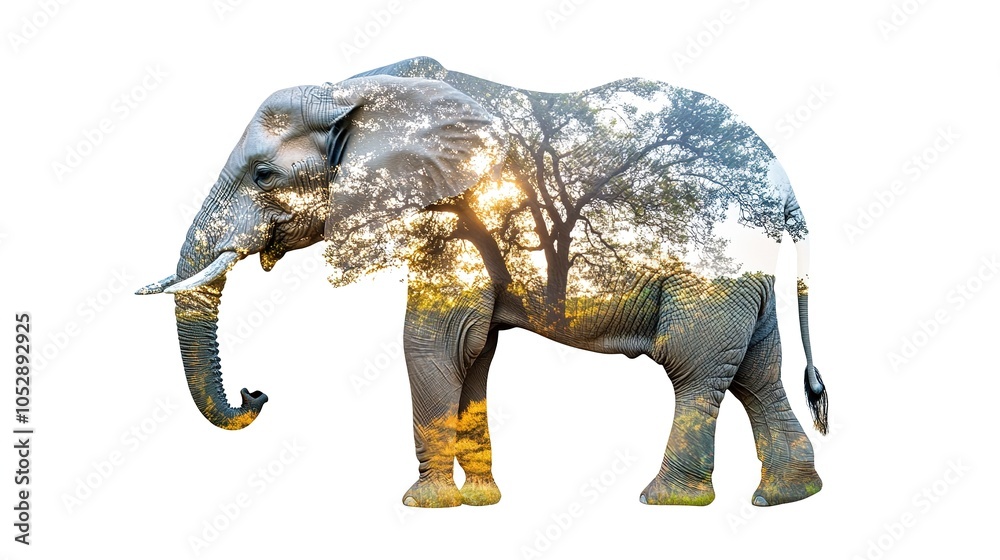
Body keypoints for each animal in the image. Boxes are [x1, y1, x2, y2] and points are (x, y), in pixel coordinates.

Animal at [138, 56, 828, 508]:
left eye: (262, 175)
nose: (256, 394)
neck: (358, 89)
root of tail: (785, 186)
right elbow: (474, 352)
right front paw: (482, 502)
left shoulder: (463, 214)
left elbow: (434, 343)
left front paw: (425, 505)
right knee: (756, 369)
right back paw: (786, 497)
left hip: (709, 265)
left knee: (692, 366)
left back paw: (666, 502)